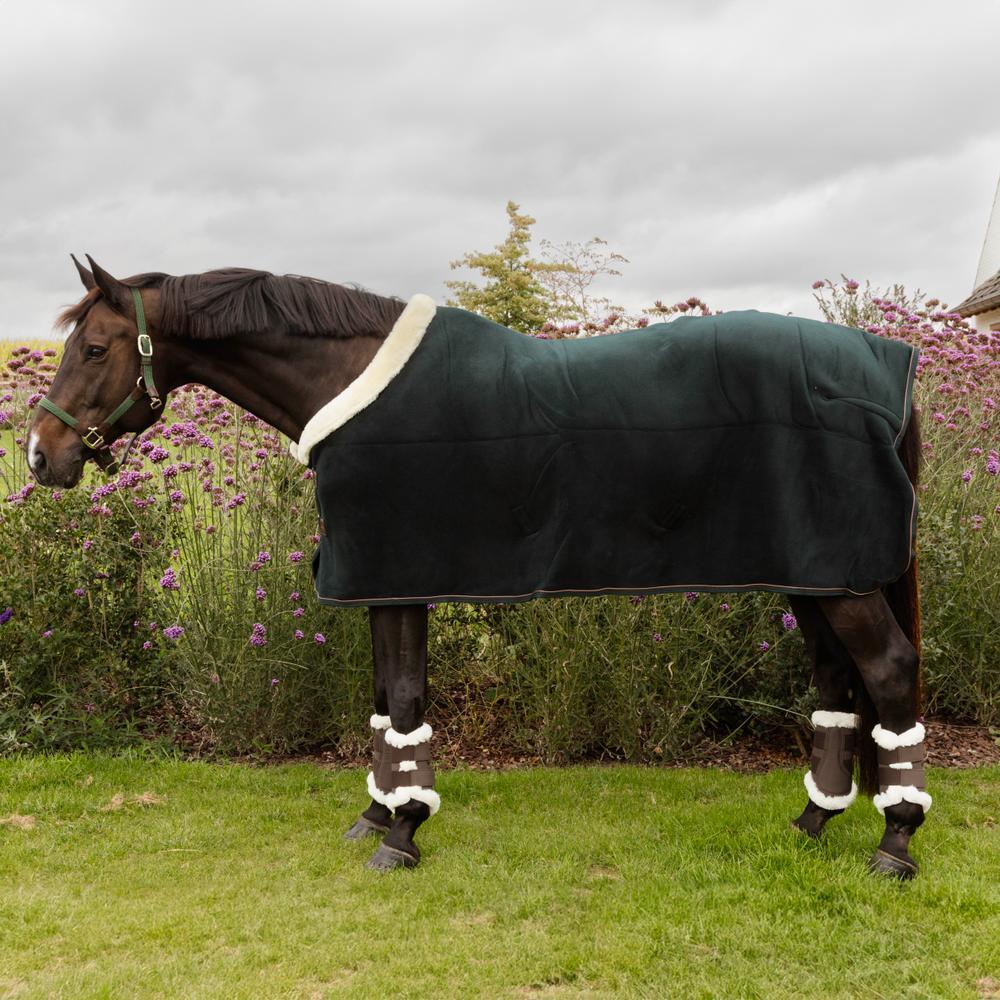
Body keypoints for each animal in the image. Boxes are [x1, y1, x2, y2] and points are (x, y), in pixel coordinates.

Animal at [27, 256, 930, 877]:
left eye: (97, 347)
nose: (40, 456)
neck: (350, 380)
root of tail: (884, 362)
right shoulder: (388, 581)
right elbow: (384, 702)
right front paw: (377, 813)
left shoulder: (400, 576)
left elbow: (403, 700)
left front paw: (401, 833)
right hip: (815, 574)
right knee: (835, 681)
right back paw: (812, 824)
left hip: (842, 578)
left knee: (886, 670)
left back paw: (895, 842)